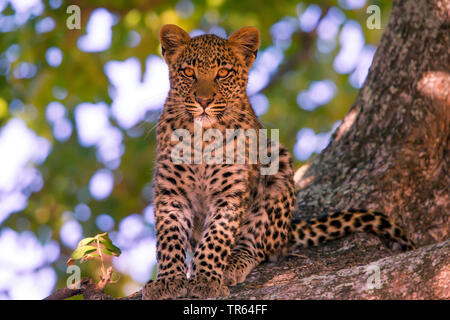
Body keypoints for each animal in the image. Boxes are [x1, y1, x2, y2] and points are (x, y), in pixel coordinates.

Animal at [142, 24, 414, 300]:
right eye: (188, 72)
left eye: (223, 72)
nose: (204, 101)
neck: (202, 138)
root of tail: (287, 230)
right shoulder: (171, 192)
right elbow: (169, 239)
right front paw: (167, 280)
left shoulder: (230, 193)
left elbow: (217, 237)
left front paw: (207, 279)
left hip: (278, 163)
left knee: (257, 244)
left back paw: (233, 263)